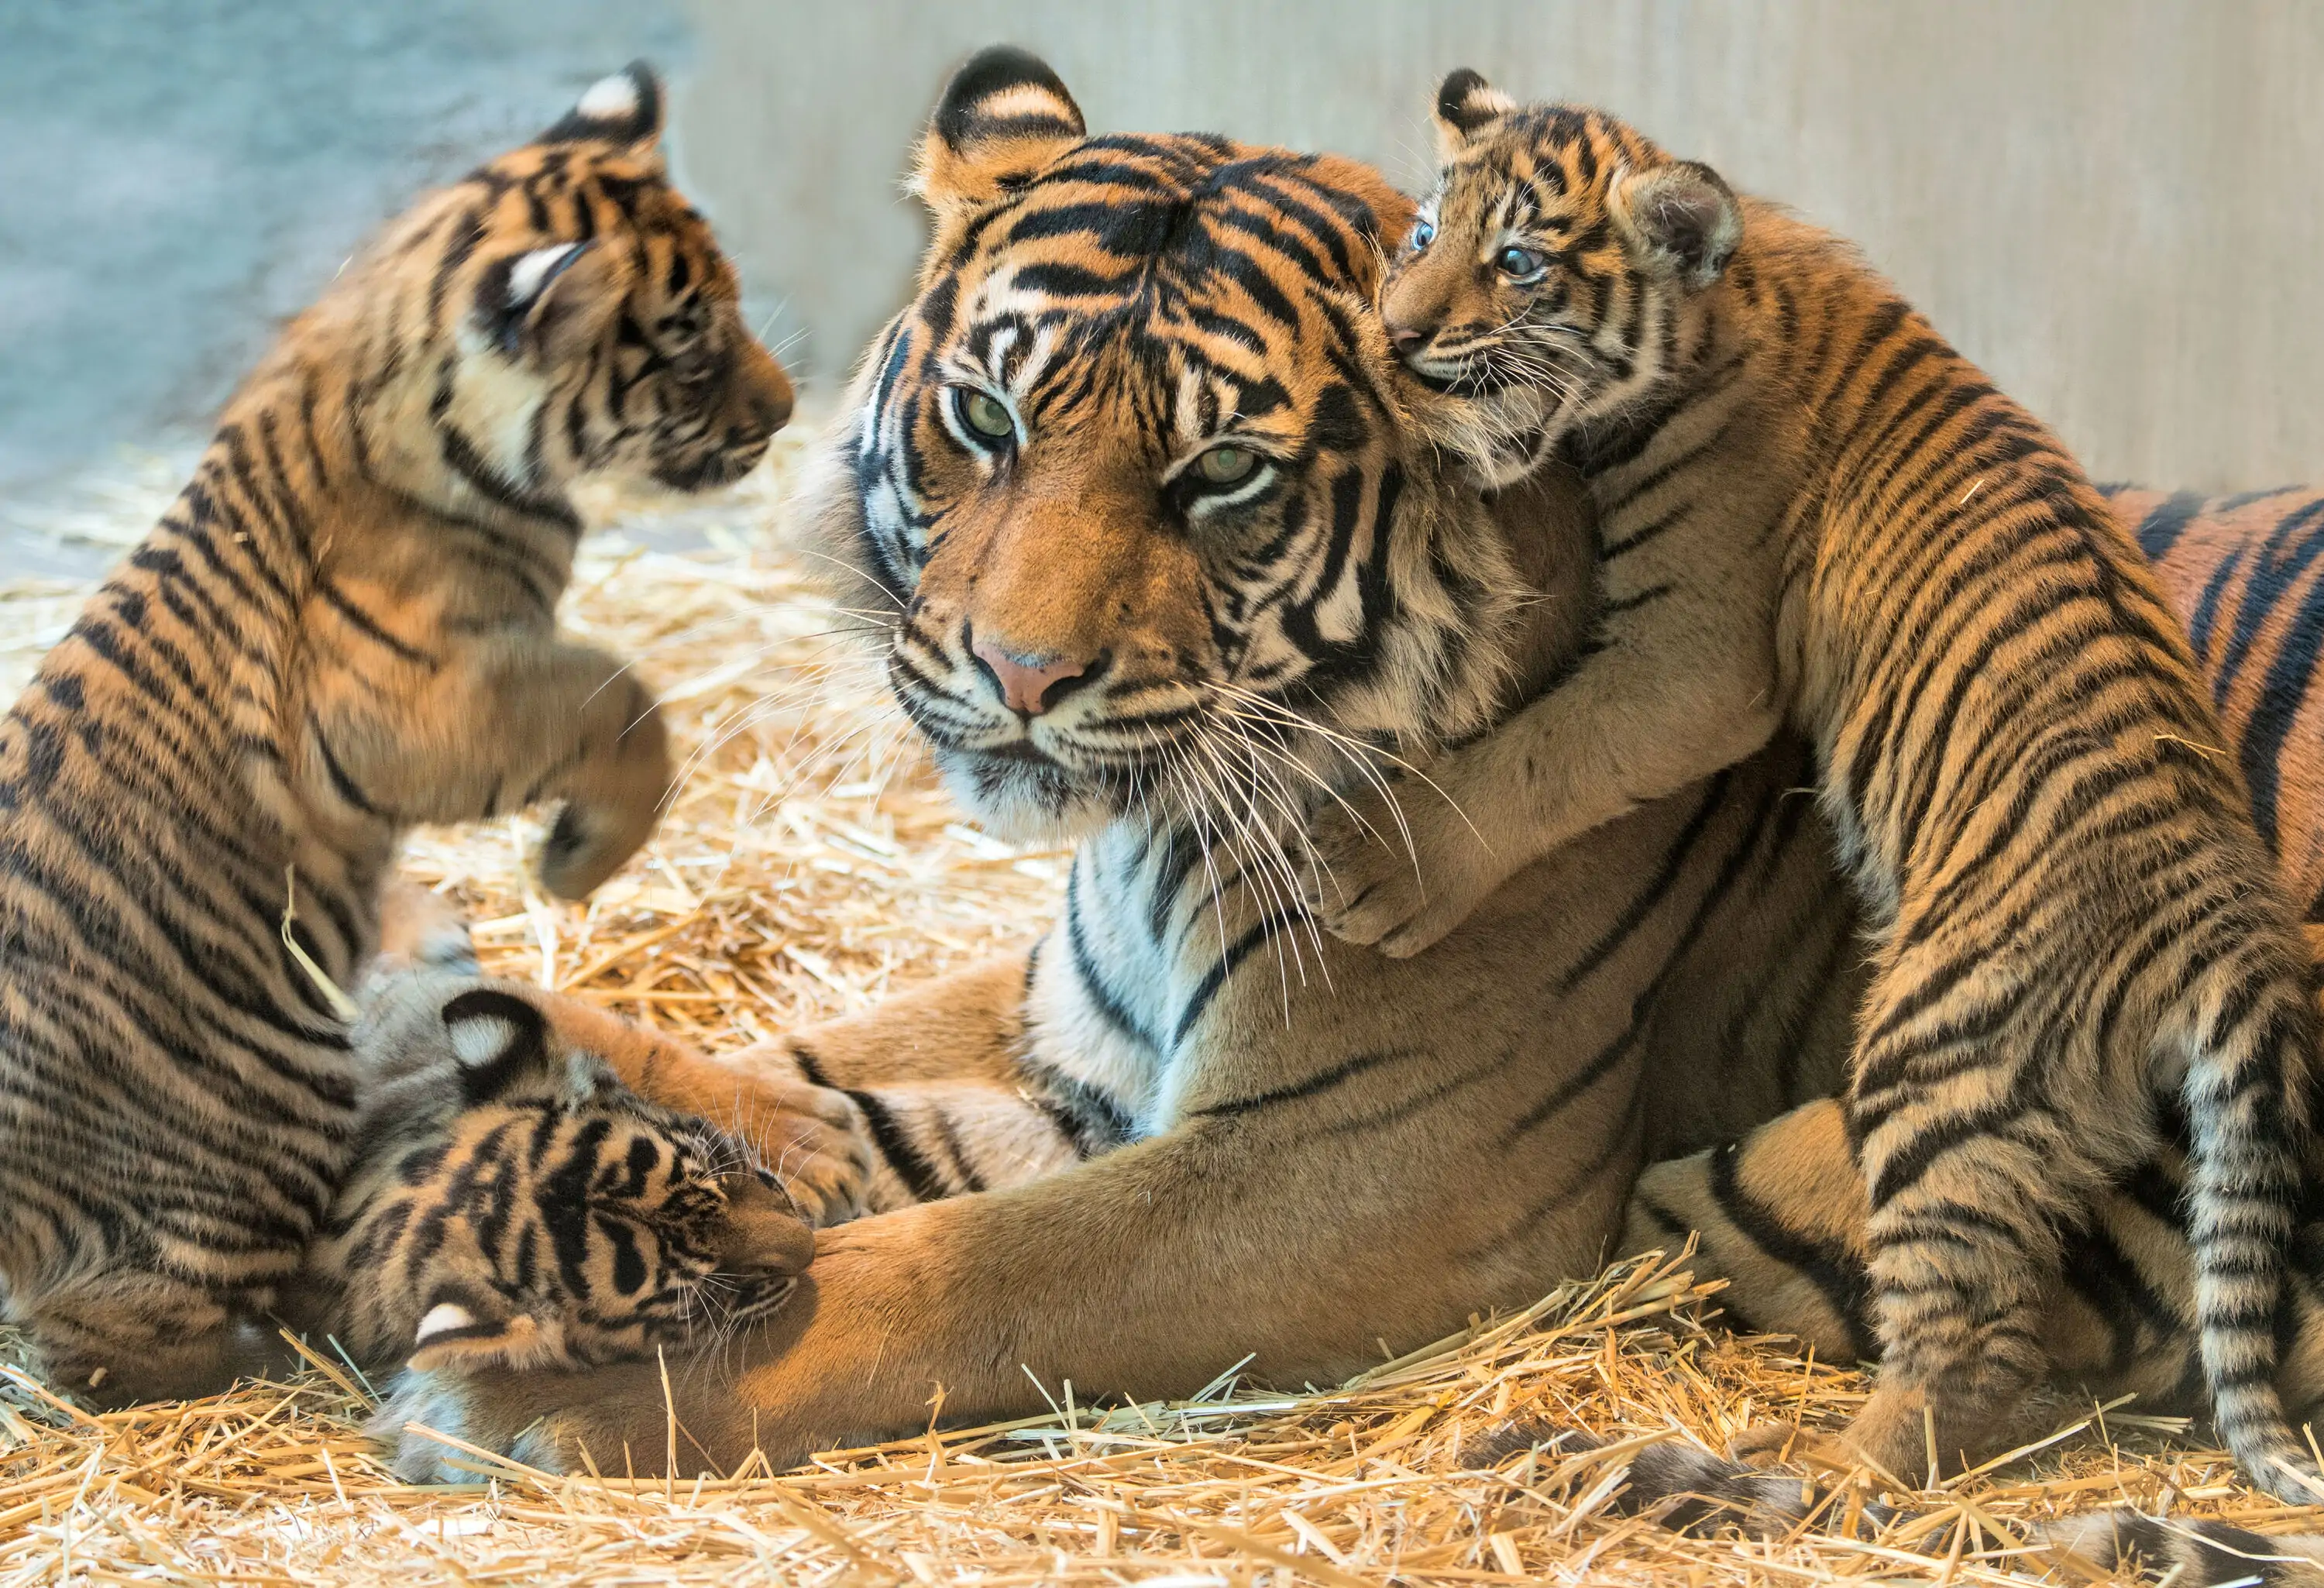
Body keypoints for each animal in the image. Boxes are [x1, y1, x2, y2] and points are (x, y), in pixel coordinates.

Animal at [0, 65, 799, 1404]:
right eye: (688, 343)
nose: (787, 412)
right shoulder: (435, 702)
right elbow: (621, 693)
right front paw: (572, 865)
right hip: (262, 1132)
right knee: (104, 1330)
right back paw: (250, 1359)